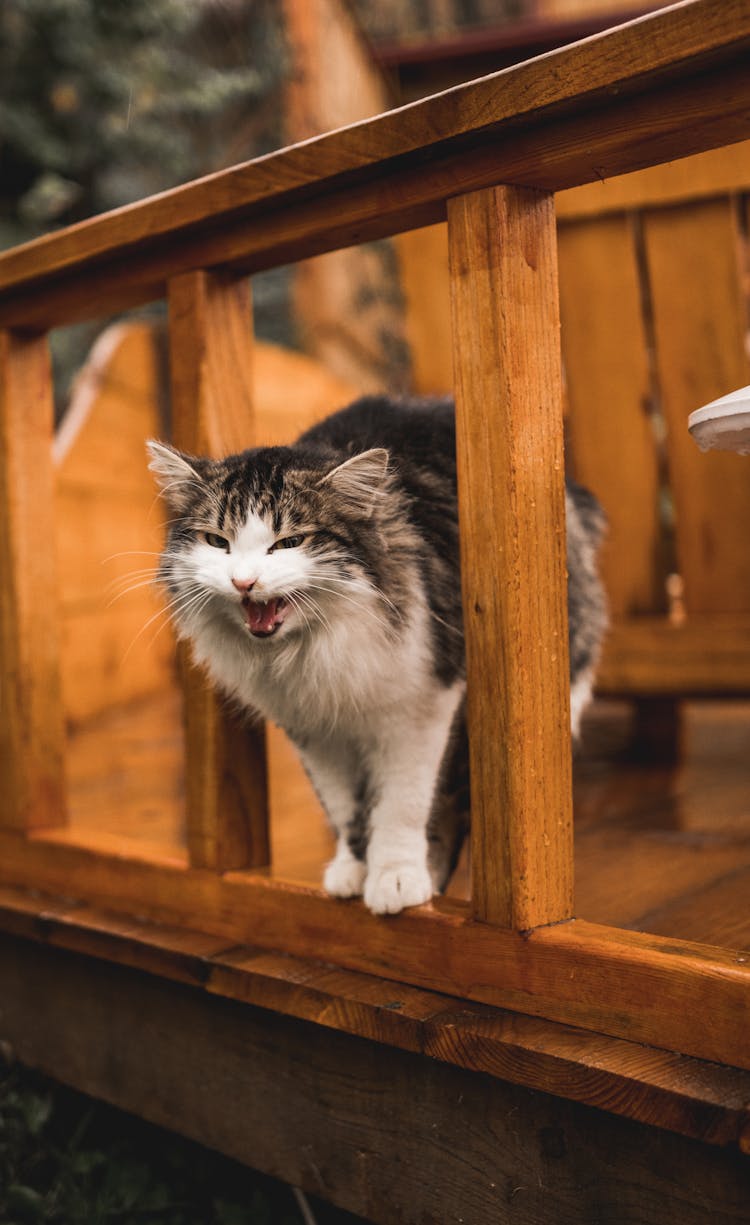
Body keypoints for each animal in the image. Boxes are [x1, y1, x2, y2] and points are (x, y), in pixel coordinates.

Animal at [149, 396, 605, 916]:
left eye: (290, 542)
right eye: (216, 541)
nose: (244, 582)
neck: (313, 654)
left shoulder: (419, 709)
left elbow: (401, 804)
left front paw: (396, 879)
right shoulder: (313, 729)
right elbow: (346, 809)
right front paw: (354, 870)